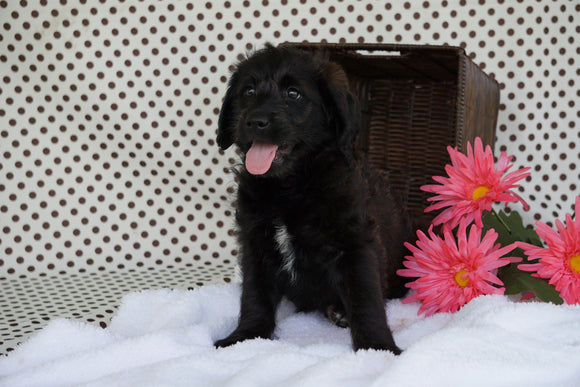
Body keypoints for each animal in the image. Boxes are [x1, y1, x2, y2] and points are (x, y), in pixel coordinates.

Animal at [215, 45, 410, 354]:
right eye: (248, 91)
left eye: (293, 93)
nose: (255, 121)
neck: (290, 187)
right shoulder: (256, 244)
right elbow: (254, 296)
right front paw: (245, 336)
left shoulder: (355, 243)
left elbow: (366, 299)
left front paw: (377, 347)